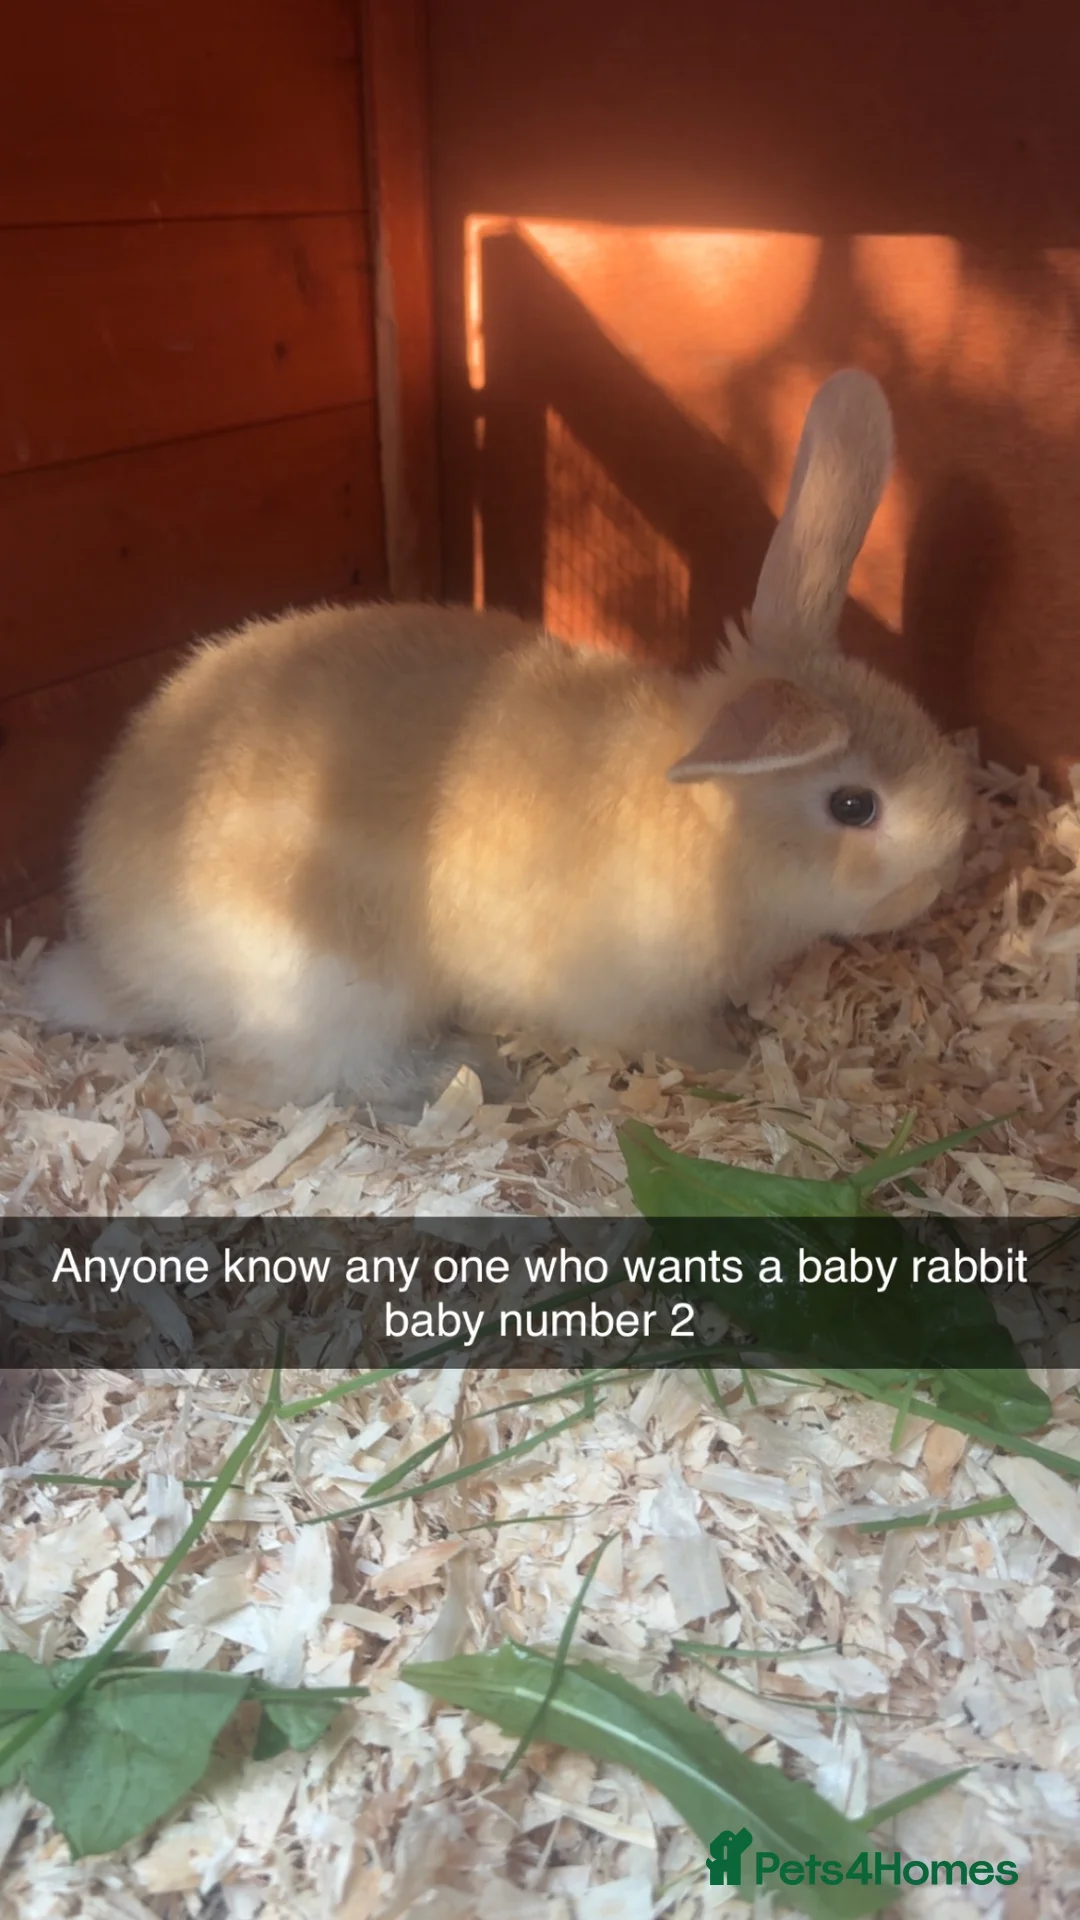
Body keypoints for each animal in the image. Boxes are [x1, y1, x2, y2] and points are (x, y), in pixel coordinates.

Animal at [32, 369, 972, 1118]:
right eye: (854, 805)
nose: (941, 876)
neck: (713, 833)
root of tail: (124, 961)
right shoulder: (637, 1003)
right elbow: (680, 1042)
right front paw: (736, 1066)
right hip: (332, 988)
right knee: (269, 1083)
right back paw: (463, 1076)